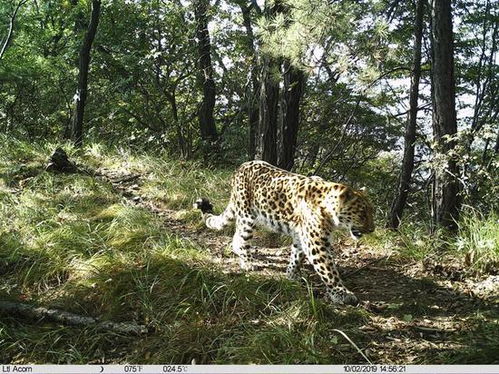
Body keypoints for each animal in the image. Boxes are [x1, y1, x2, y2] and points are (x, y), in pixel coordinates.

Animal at [195, 160, 376, 304]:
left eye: (371, 211)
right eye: (362, 213)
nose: (372, 229)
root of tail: (240, 168)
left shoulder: (301, 236)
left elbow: (297, 255)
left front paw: (292, 274)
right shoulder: (316, 242)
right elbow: (328, 269)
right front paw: (341, 293)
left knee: (236, 237)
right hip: (247, 216)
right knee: (240, 239)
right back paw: (247, 261)